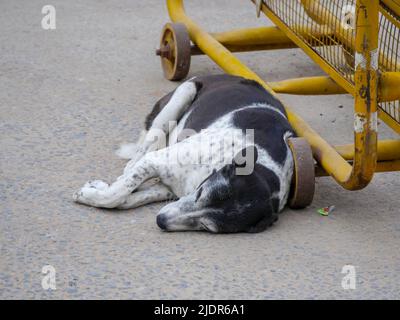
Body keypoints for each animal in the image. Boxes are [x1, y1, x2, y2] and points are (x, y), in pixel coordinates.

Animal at [73, 76, 296, 234]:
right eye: (200, 194)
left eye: (206, 227)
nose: (160, 221)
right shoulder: (153, 162)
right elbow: (117, 194)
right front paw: (91, 193)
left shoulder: (169, 190)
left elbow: (125, 199)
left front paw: (96, 191)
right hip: (183, 93)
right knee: (136, 157)